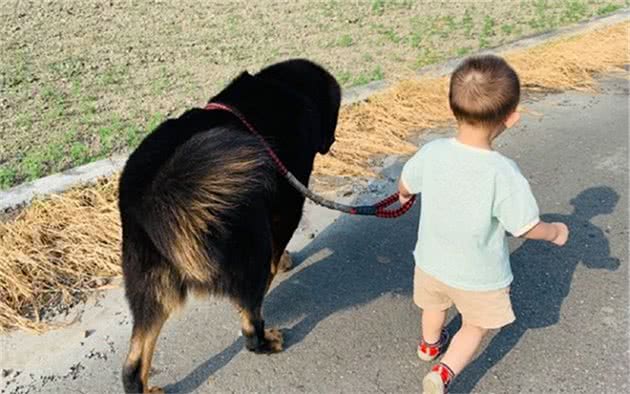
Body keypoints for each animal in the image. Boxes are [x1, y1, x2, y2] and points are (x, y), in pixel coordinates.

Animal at [115, 59, 338, 394]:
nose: (331, 141)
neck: (279, 87)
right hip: (249, 249)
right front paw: (281, 265)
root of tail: (153, 196)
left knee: (132, 363)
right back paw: (265, 339)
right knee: (249, 324)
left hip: (148, 284)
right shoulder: (288, 204)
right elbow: (276, 252)